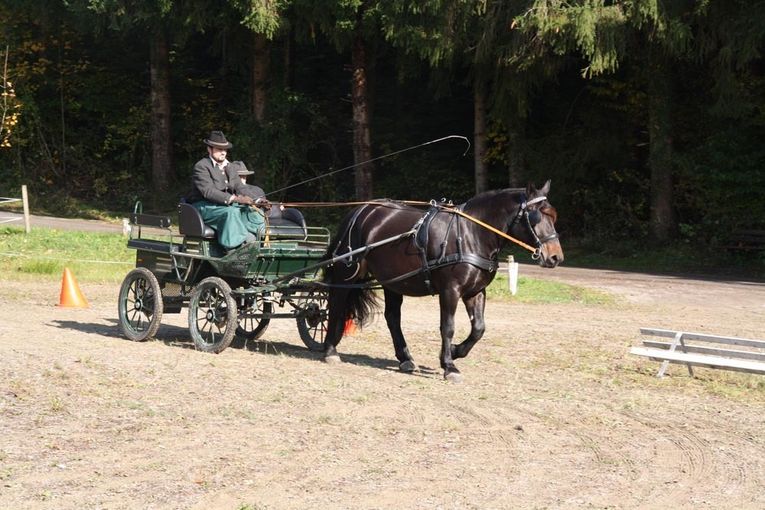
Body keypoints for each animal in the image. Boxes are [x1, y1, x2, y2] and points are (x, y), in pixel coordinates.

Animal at [318, 181, 560, 380]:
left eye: (553, 216)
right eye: (536, 216)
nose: (556, 257)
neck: (471, 234)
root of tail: (360, 211)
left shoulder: (475, 291)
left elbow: (479, 328)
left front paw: (455, 351)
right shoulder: (450, 290)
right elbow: (448, 327)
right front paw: (449, 365)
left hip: (392, 280)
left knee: (392, 317)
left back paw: (405, 358)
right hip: (346, 273)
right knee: (336, 304)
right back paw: (330, 350)